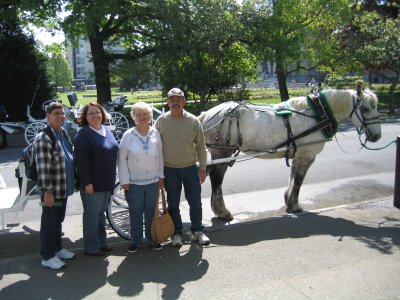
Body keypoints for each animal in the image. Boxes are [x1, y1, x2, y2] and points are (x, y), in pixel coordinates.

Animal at [200, 87, 382, 220]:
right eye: (365, 109)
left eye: (376, 107)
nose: (377, 136)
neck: (317, 113)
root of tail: (206, 114)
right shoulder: (307, 154)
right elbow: (299, 180)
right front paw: (294, 205)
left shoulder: (298, 154)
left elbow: (293, 177)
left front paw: (288, 201)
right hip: (222, 152)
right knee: (217, 178)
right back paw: (222, 211)